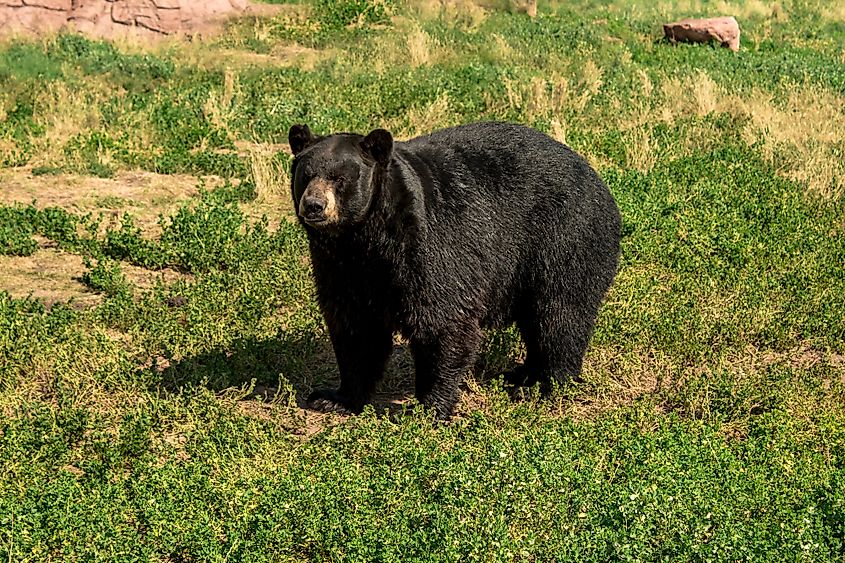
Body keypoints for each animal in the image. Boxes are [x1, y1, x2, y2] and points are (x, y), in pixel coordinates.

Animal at [290, 122, 620, 418]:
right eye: (305, 175)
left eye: (339, 178)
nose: (314, 205)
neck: (366, 237)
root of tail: (596, 178)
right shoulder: (340, 265)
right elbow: (355, 327)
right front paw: (334, 398)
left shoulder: (429, 246)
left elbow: (442, 319)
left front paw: (428, 407)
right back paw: (523, 373)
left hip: (563, 236)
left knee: (559, 313)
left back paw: (545, 383)